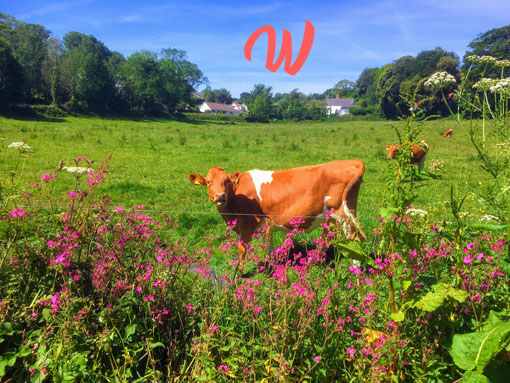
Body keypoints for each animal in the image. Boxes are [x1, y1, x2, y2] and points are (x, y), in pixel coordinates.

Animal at [189, 160, 364, 268]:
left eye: (226, 181)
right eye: (208, 182)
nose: (220, 196)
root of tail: (352, 162)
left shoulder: (249, 224)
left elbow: (243, 250)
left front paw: (238, 277)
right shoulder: (265, 224)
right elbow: (270, 247)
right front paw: (272, 267)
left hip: (345, 215)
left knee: (355, 239)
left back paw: (355, 272)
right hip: (332, 217)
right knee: (327, 238)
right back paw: (313, 262)